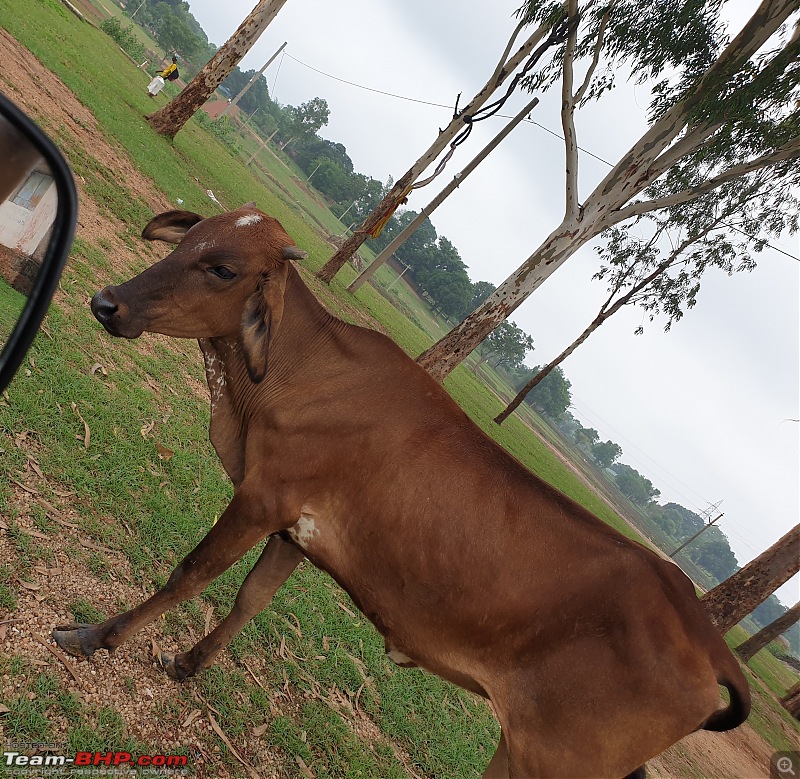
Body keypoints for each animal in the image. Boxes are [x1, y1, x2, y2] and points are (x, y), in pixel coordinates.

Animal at [54, 204, 752, 776]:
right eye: (191, 237)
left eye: (223, 268)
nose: (108, 303)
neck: (293, 373)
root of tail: (712, 644)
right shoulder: (296, 529)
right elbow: (251, 598)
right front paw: (186, 664)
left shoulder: (261, 498)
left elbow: (190, 574)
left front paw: (95, 638)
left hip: (554, 759)